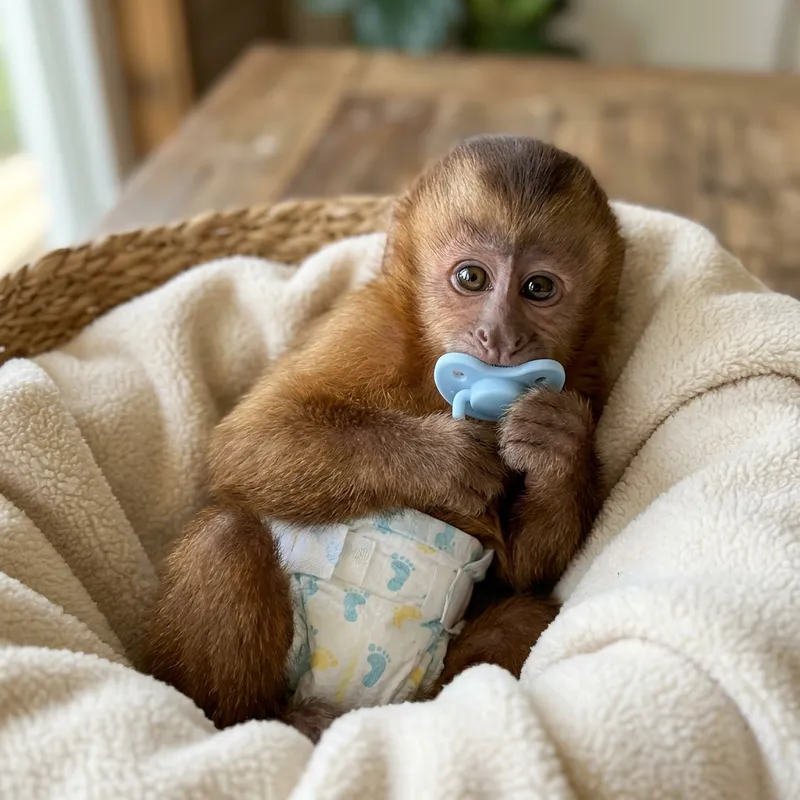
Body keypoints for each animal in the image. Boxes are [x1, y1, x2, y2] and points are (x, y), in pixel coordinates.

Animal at [143, 134, 626, 742]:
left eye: (539, 288)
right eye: (472, 278)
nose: (499, 335)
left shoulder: (587, 382)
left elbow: (519, 571)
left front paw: (555, 445)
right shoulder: (368, 325)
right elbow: (248, 440)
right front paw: (445, 460)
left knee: (526, 614)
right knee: (225, 538)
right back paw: (270, 724)